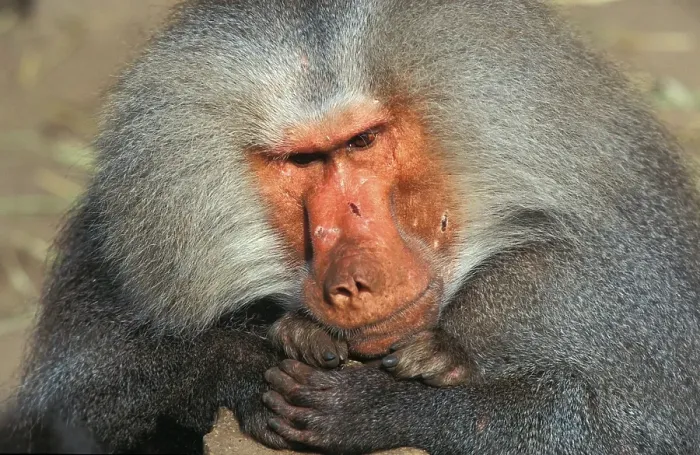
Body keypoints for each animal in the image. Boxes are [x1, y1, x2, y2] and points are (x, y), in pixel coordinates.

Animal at [1, 0, 700, 454]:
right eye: (303, 161)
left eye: (362, 141)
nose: (353, 281)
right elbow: (60, 420)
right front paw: (252, 358)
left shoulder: (588, 281)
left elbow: (627, 431)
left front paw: (386, 406)